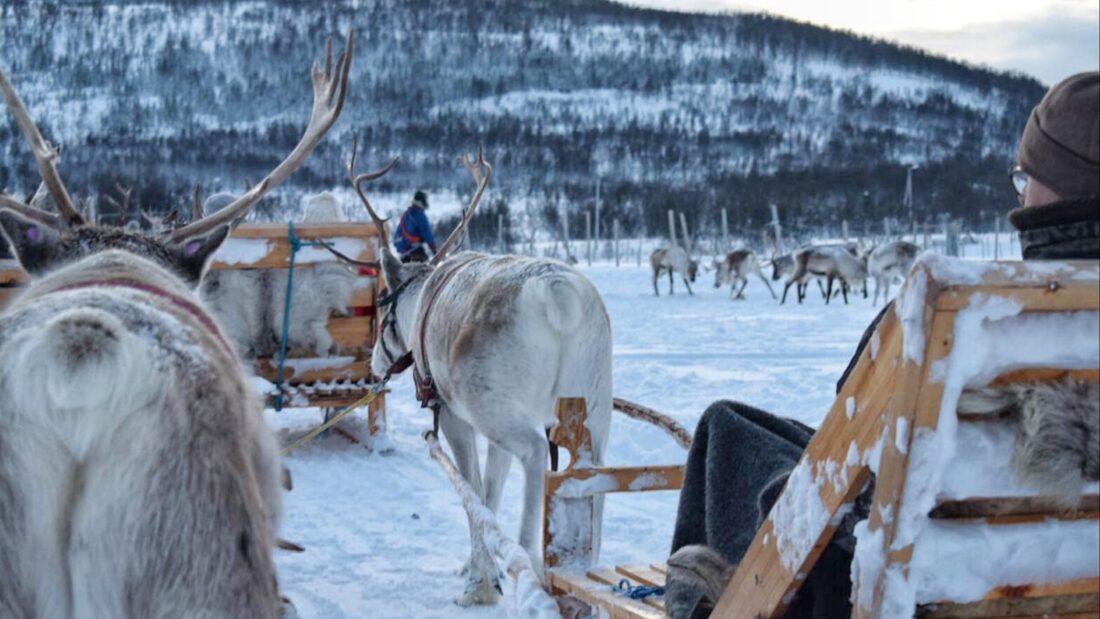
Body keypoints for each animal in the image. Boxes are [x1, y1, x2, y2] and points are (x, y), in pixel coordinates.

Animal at [350, 140, 612, 606]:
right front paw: (477, 567)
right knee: (594, 478)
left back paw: (530, 567)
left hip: (494, 408)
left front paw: (481, 582)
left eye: (382, 309)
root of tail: (557, 294)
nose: (374, 362)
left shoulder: (455, 416)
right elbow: (491, 490)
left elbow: (472, 493)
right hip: (597, 408)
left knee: (535, 455)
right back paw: (583, 576)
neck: (420, 300)